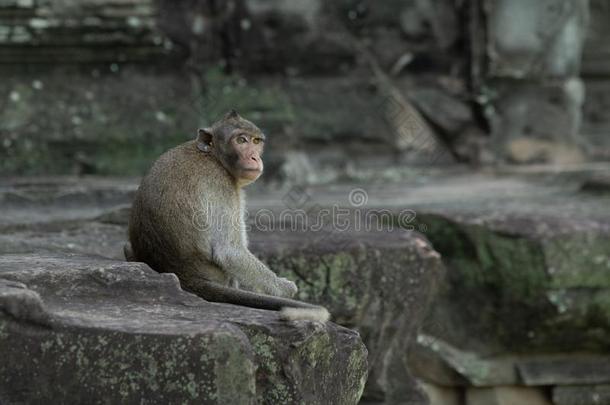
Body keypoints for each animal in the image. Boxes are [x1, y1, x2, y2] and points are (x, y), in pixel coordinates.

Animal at [123, 108, 328, 322]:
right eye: (241, 140)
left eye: (256, 141)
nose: (255, 158)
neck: (213, 157)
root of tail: (183, 275)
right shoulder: (221, 183)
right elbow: (229, 252)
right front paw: (285, 288)